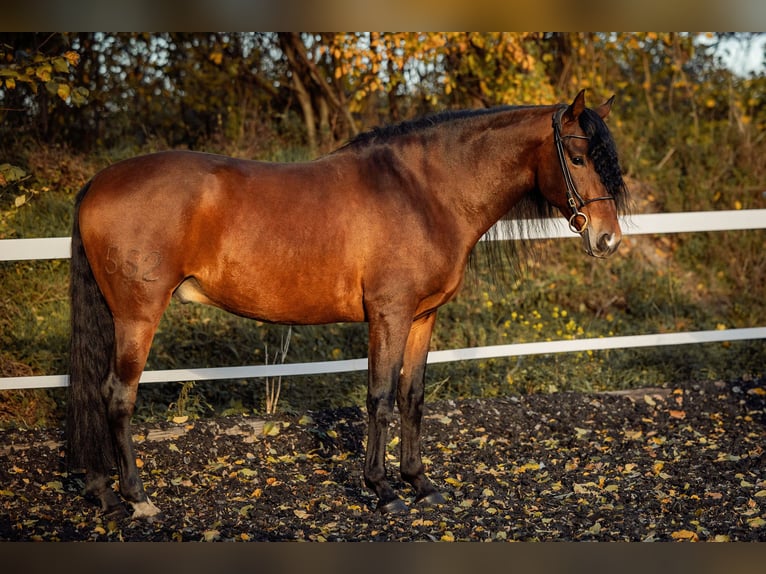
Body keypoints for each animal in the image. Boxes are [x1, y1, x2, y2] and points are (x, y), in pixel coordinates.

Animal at [67, 90, 629, 519]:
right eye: (577, 158)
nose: (607, 239)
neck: (424, 192)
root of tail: (98, 182)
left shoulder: (422, 316)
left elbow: (411, 397)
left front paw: (420, 483)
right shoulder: (388, 314)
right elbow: (379, 398)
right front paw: (382, 490)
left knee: (95, 393)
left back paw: (101, 492)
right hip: (137, 317)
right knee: (117, 396)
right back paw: (137, 499)